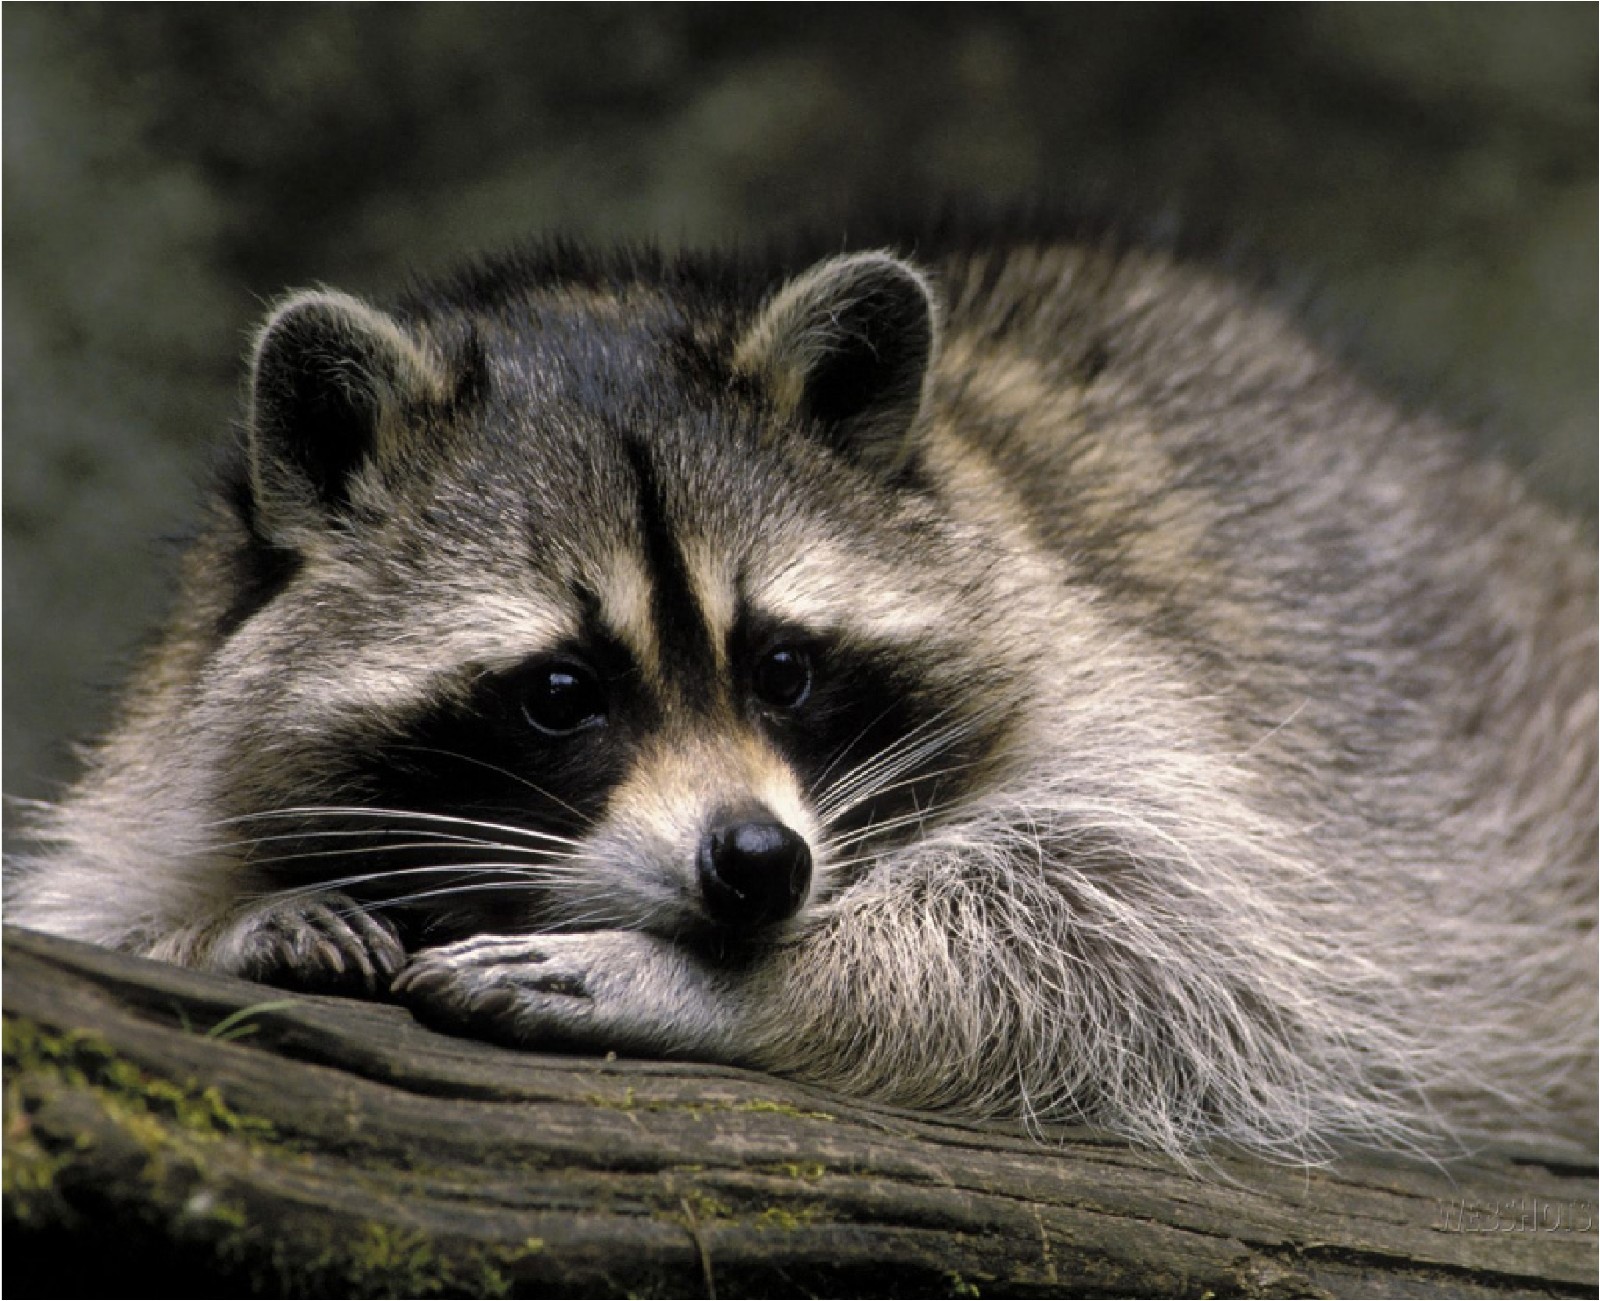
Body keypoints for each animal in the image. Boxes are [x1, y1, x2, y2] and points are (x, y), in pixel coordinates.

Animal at [8, 221, 1596, 1164]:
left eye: (783, 666)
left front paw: (716, 980)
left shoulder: (1130, 685)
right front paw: (223, 921)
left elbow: (1155, 935)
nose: (758, 865)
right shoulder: (177, 718)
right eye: (560, 691)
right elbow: (92, 898)